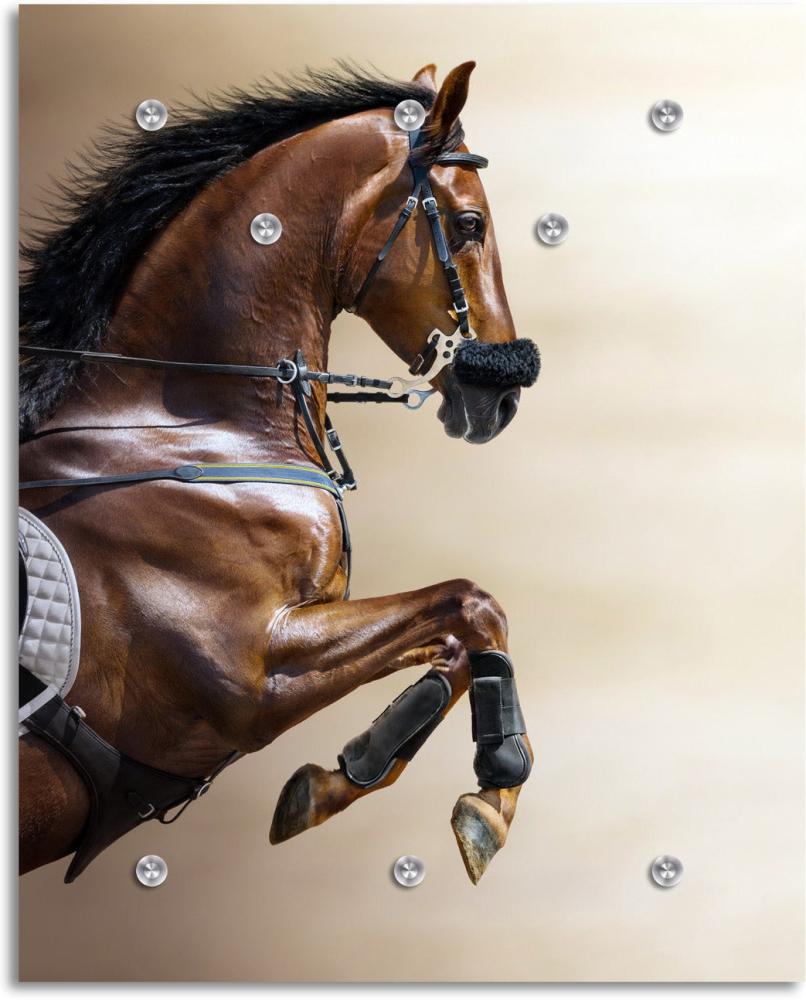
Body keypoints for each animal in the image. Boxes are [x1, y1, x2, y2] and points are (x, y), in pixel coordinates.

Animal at [19, 62, 540, 888]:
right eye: (468, 226)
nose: (504, 394)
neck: (186, 426)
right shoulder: (256, 675)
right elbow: (473, 604)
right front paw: (492, 799)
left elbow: (458, 633)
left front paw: (345, 772)